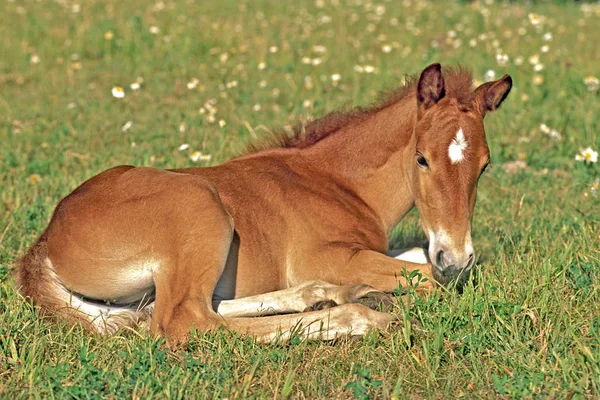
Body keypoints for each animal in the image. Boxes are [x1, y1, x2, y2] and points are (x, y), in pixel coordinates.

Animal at [14, 63, 510, 344]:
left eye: (484, 166)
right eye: (422, 158)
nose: (456, 258)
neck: (336, 181)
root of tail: (44, 243)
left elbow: (417, 260)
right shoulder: (329, 255)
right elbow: (426, 276)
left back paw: (324, 296)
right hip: (202, 207)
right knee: (185, 321)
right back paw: (358, 315)